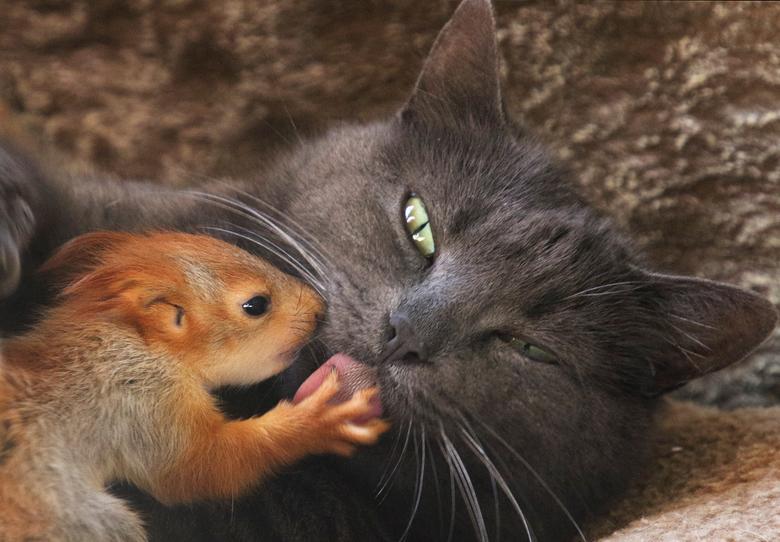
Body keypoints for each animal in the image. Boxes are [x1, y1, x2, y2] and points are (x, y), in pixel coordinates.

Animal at [0, 233, 390, 542]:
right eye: (255, 305)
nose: (320, 309)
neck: (132, 340)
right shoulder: (140, 400)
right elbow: (205, 464)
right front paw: (321, 420)